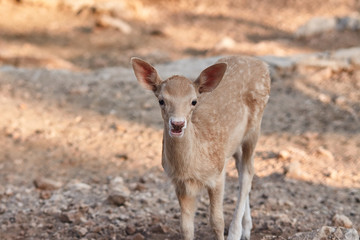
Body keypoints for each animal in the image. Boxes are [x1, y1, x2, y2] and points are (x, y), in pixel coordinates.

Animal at [131, 56, 270, 240]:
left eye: (193, 101)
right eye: (161, 100)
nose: (177, 124)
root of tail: (262, 63)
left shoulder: (217, 173)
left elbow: (217, 221)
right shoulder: (180, 184)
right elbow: (186, 227)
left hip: (255, 127)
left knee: (247, 173)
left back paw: (236, 232)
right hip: (235, 144)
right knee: (242, 169)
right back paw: (246, 229)